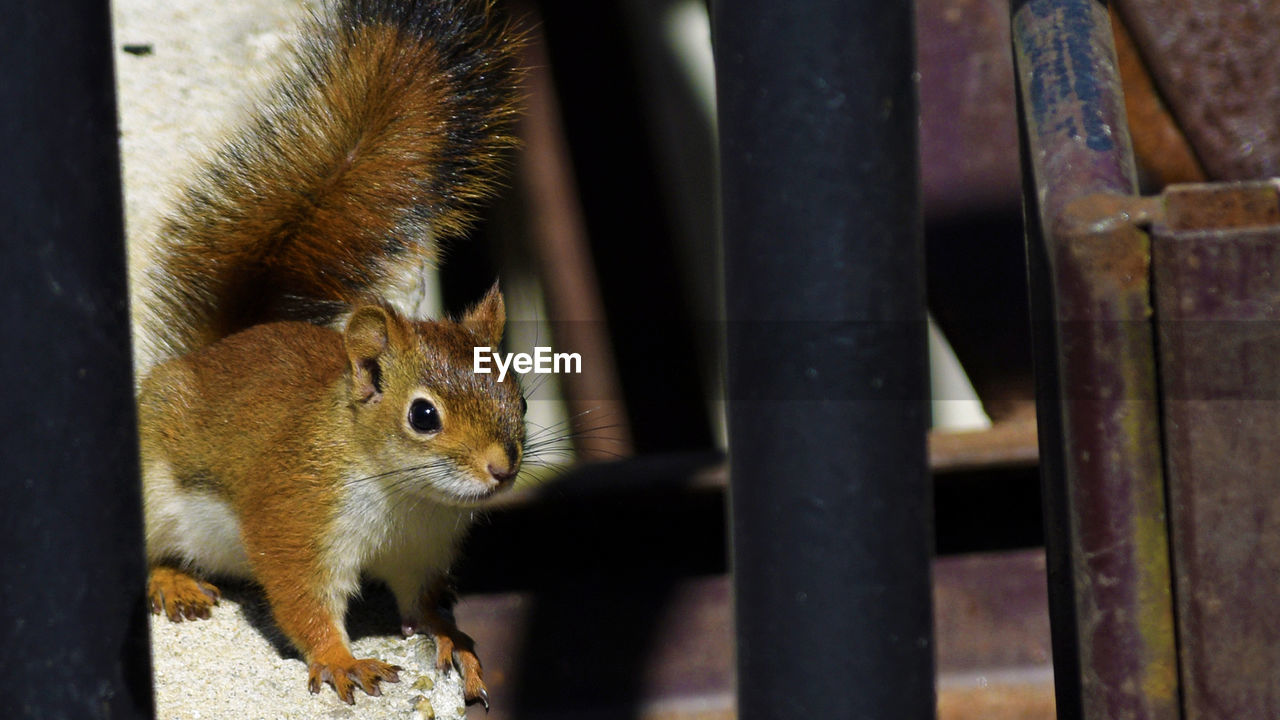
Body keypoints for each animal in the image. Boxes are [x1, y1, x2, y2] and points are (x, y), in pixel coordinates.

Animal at [133, 0, 524, 707]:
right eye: (423, 415)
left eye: (520, 399)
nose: (500, 470)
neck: (407, 499)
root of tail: (213, 352)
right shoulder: (297, 512)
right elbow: (303, 600)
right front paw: (343, 660)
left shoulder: (422, 552)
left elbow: (424, 607)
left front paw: (453, 640)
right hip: (150, 486)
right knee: (147, 551)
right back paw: (171, 581)